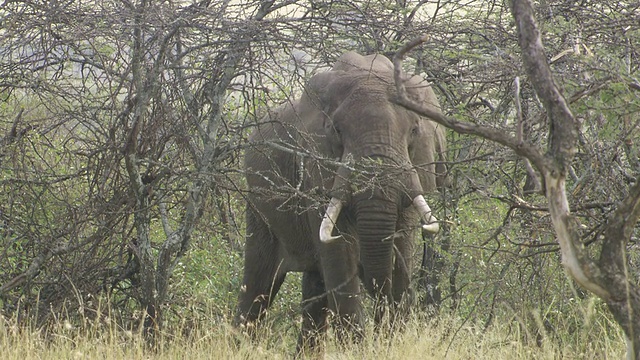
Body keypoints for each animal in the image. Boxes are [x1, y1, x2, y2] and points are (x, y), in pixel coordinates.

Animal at [234, 52, 444, 352]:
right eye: (336, 131)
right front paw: (358, 351)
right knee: (258, 284)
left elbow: (402, 251)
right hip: (258, 207)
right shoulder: (315, 175)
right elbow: (340, 256)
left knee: (315, 290)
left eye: (415, 130)